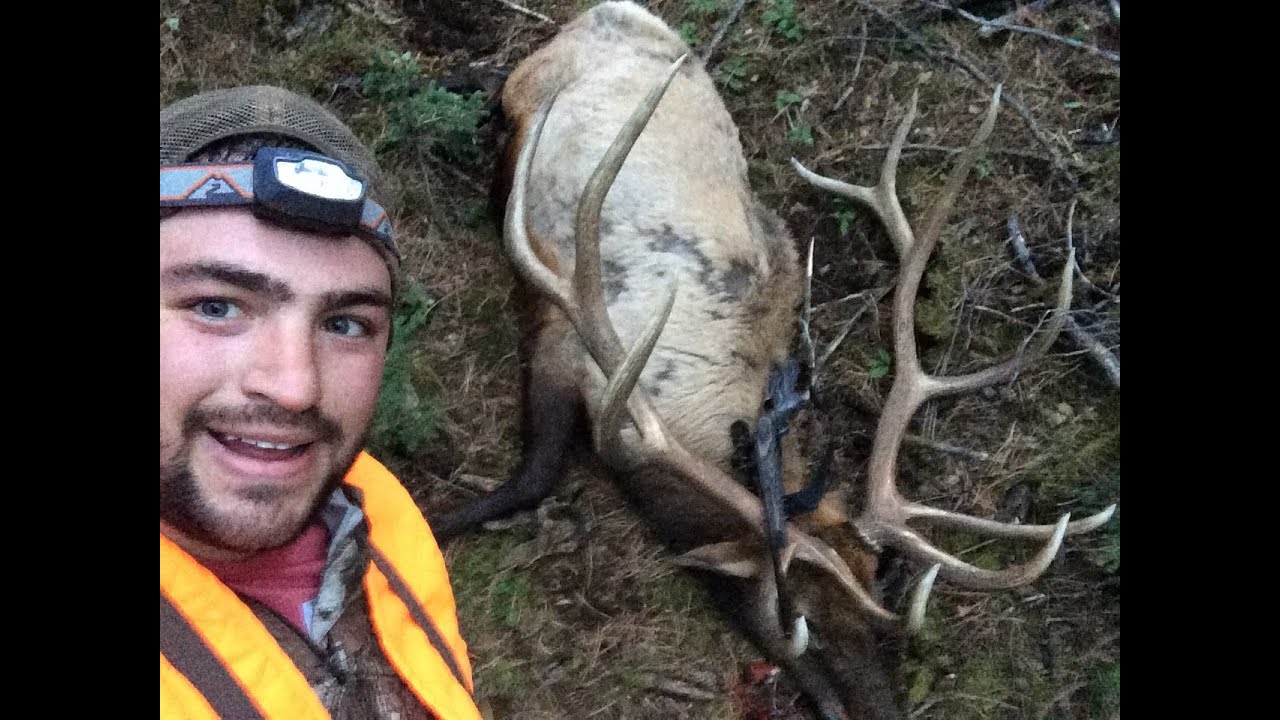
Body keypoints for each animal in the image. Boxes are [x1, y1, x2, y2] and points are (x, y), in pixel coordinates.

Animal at [427, 3, 1115, 719]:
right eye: (800, 618)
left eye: (875, 600)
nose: (881, 708)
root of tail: (613, 12)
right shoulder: (566, 340)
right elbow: (531, 478)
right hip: (532, 82)